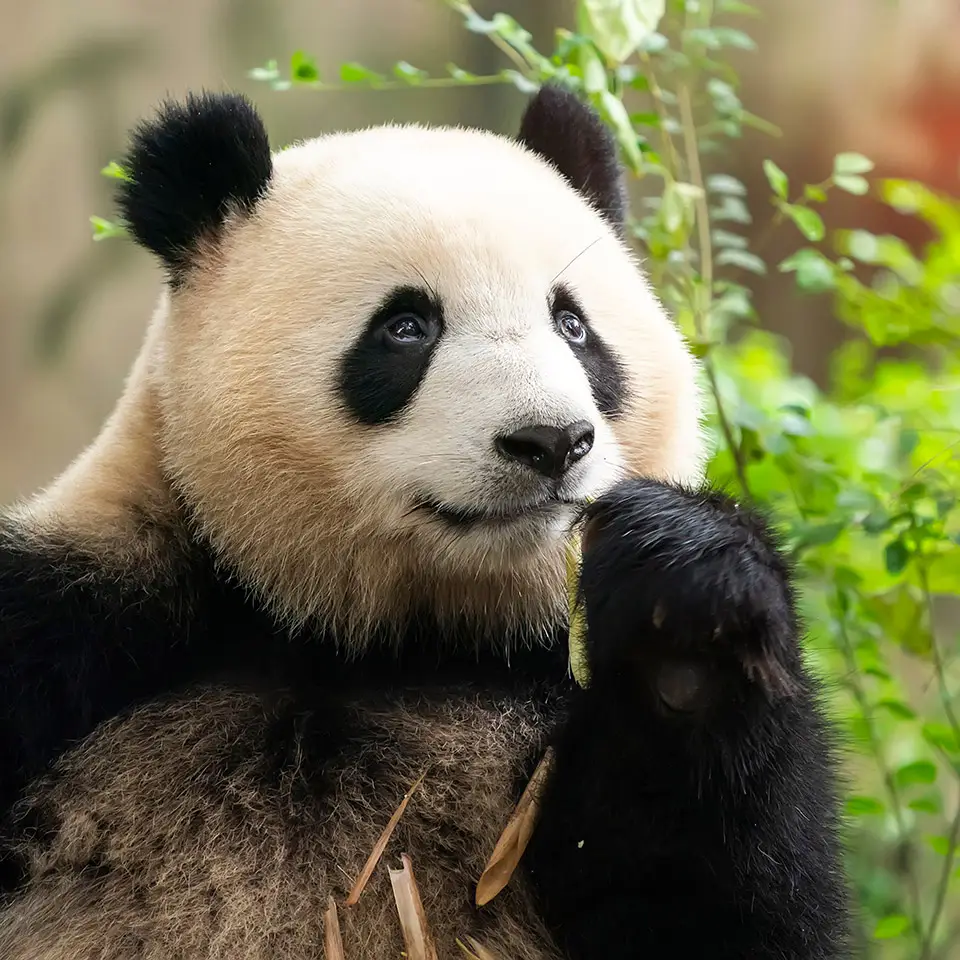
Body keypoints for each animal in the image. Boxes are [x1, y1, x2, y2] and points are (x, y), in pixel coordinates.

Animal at [1, 86, 848, 956]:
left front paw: (684, 616)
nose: (551, 442)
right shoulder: (83, 625)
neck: (383, 636)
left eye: (573, 325)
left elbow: (713, 902)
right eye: (407, 326)